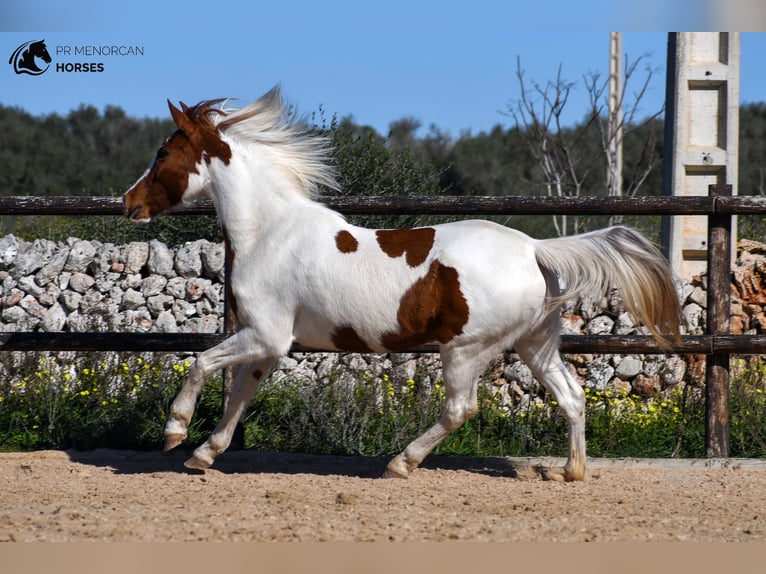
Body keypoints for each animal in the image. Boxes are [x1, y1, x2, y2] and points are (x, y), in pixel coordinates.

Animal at [126, 86, 684, 482]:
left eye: (163, 153)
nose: (130, 202)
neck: (268, 230)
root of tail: (533, 248)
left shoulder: (266, 334)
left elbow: (201, 363)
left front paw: (175, 433)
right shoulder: (266, 344)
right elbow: (239, 395)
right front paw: (205, 454)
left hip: (465, 349)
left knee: (461, 408)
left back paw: (400, 462)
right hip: (535, 343)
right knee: (572, 396)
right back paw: (571, 471)